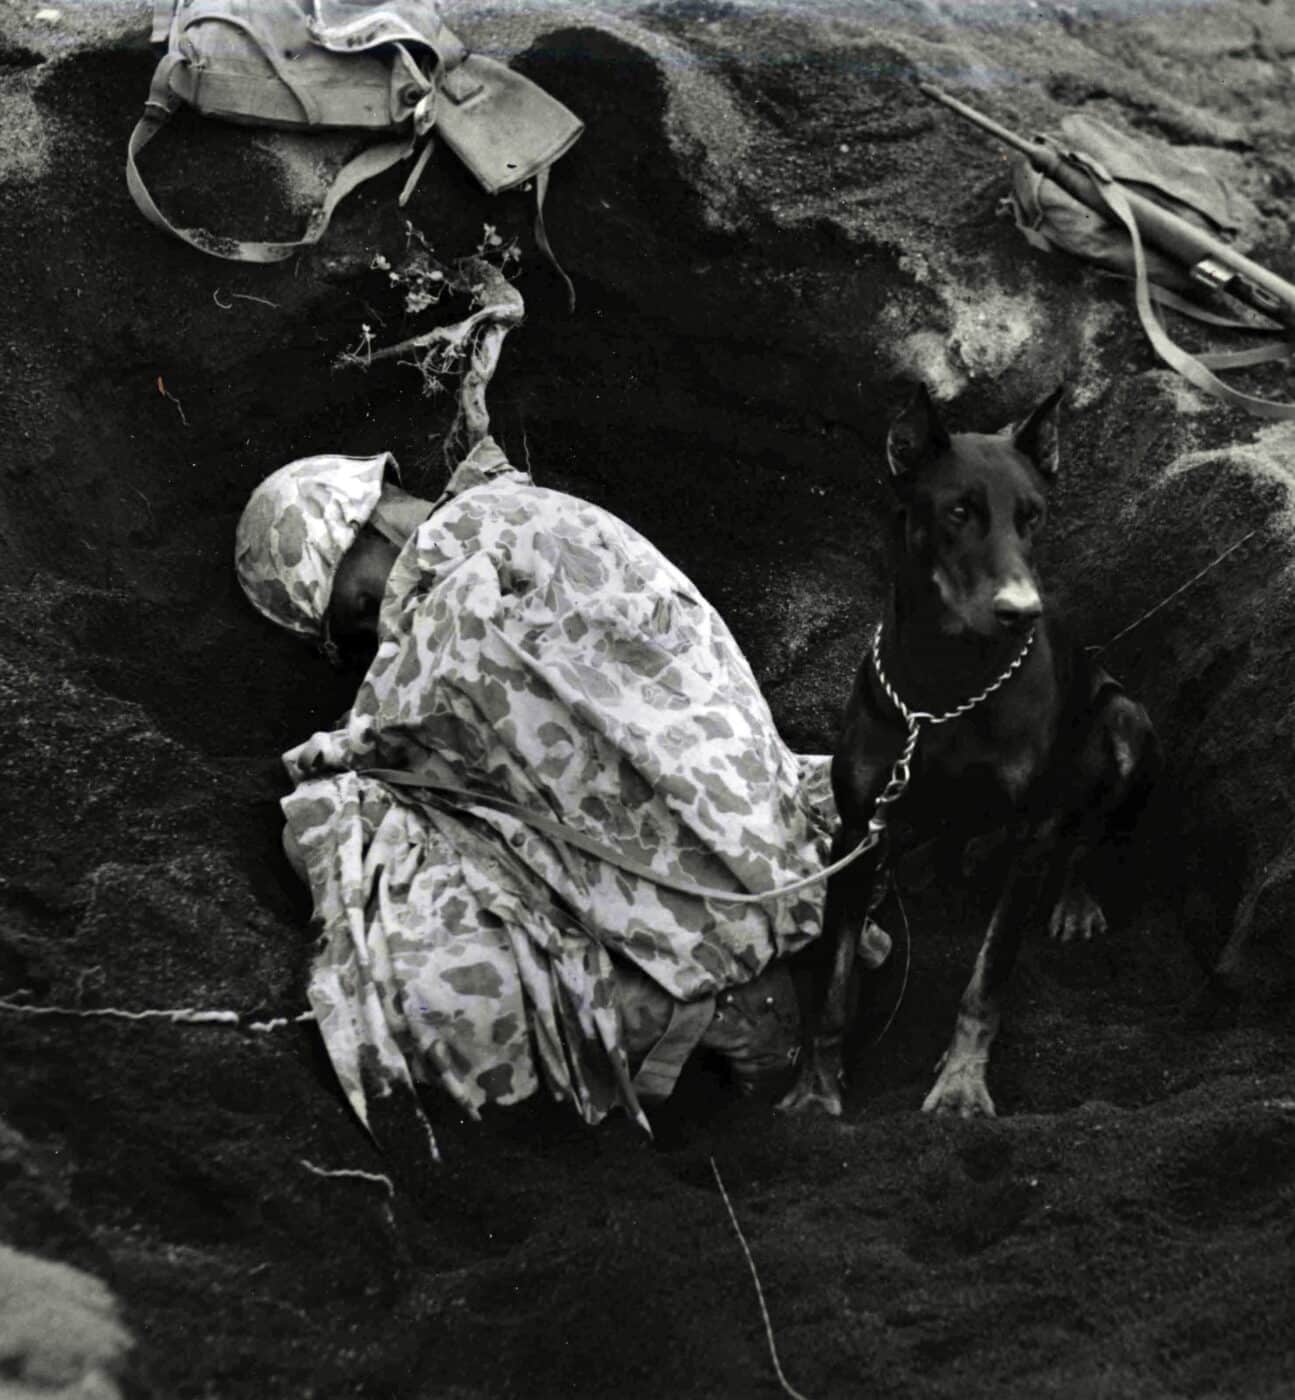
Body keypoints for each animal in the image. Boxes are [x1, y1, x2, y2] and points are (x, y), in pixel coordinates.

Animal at [778, 380, 1153, 1114]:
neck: (948, 680)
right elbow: (833, 984)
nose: (1021, 613)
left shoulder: (1032, 832)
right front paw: (815, 1088)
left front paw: (959, 1085)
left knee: (1083, 836)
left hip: (1125, 723)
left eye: (1033, 516)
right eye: (957, 511)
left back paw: (1071, 900)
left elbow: (986, 979)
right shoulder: (858, 820)